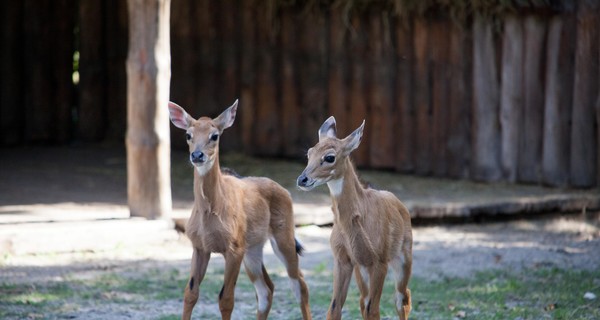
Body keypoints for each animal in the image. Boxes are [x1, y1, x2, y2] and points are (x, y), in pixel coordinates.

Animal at [168, 100, 312, 320]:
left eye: (214, 135)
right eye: (188, 135)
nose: (197, 155)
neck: (210, 212)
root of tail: (284, 190)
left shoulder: (233, 249)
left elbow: (226, 299)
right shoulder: (200, 247)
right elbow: (190, 293)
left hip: (283, 239)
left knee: (299, 285)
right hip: (253, 249)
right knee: (266, 289)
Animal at [296, 117, 412, 320]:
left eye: (330, 157)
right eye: (309, 152)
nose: (302, 179)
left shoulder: (379, 262)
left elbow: (374, 310)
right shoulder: (343, 259)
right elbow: (334, 308)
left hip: (403, 259)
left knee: (402, 298)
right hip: (361, 270)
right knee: (364, 301)